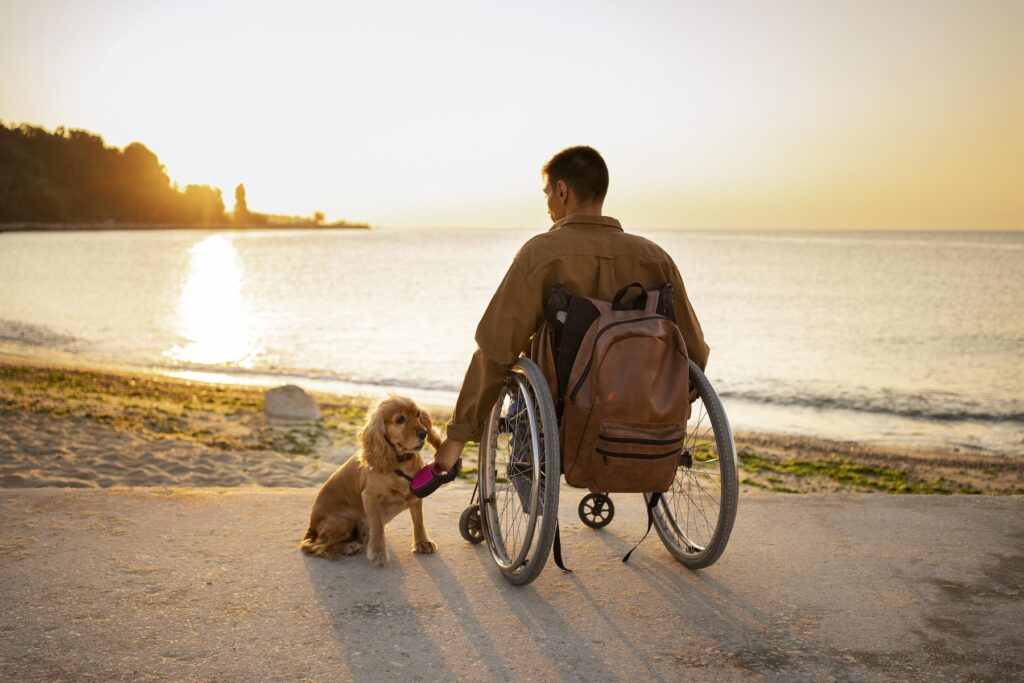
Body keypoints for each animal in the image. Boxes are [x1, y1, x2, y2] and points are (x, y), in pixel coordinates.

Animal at [296, 395, 440, 565]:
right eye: (399, 419)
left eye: (417, 414)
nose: (424, 433)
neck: (401, 462)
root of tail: (312, 526)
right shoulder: (370, 496)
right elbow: (377, 524)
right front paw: (378, 552)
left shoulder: (416, 494)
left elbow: (418, 520)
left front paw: (422, 542)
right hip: (342, 521)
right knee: (322, 545)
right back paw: (348, 546)